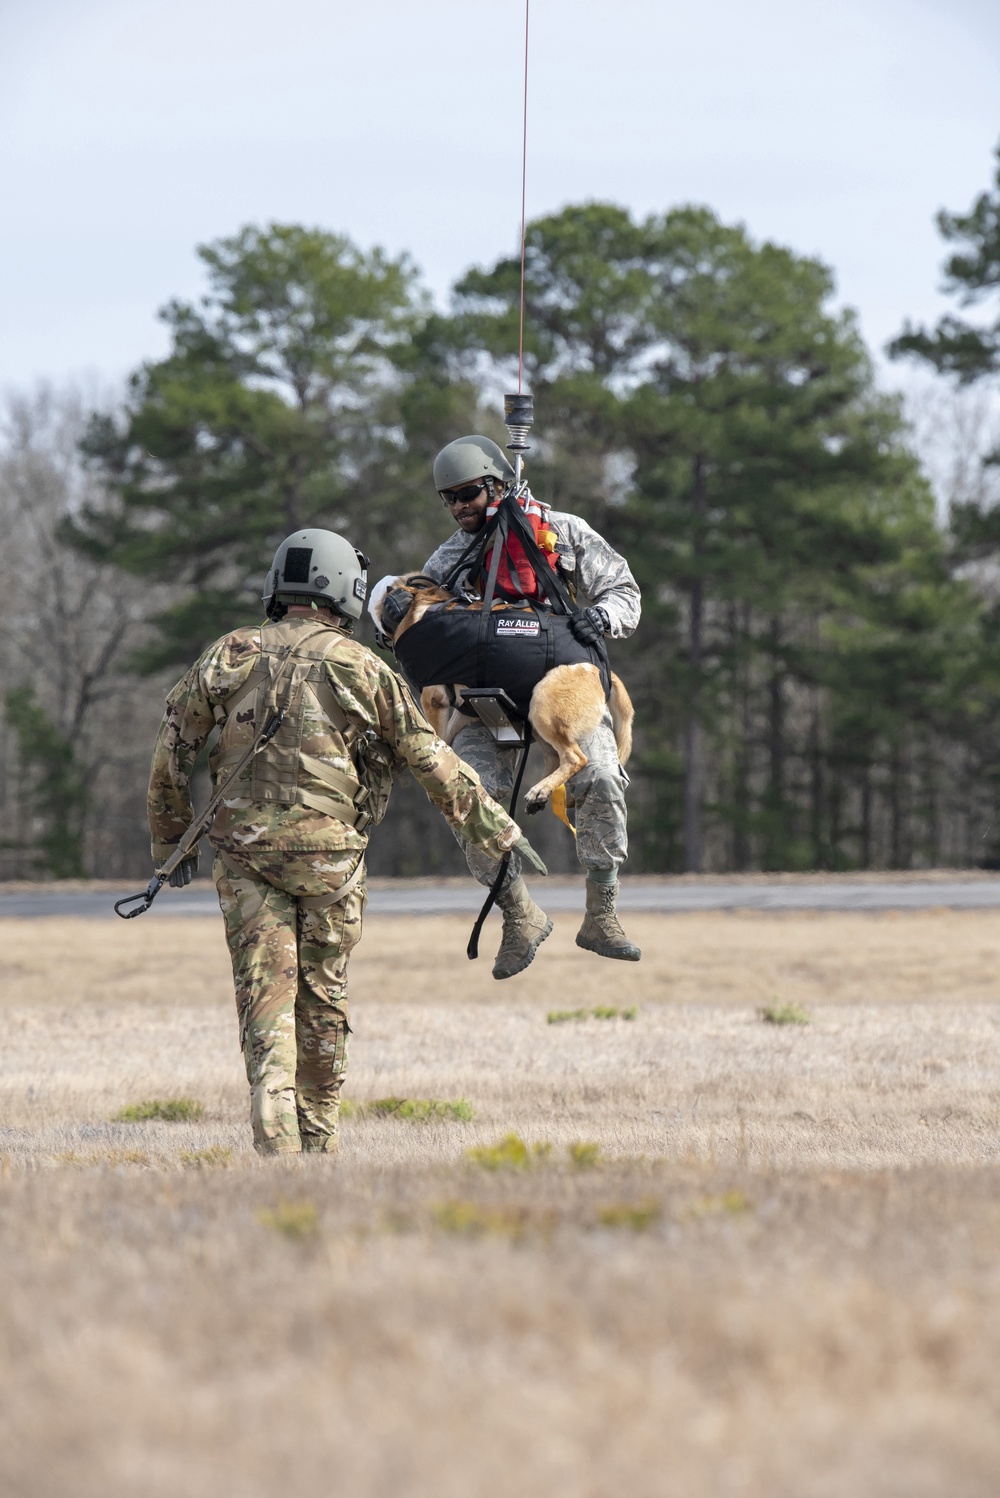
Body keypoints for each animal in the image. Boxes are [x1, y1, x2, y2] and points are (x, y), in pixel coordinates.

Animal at [374, 572, 631, 814]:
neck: (415, 603)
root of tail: (602, 672)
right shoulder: (463, 707)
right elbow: (445, 739)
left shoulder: (434, 699)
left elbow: (437, 735)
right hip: (535, 718)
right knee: (555, 758)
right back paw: (540, 793)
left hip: (543, 707)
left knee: (575, 758)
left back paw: (541, 789)